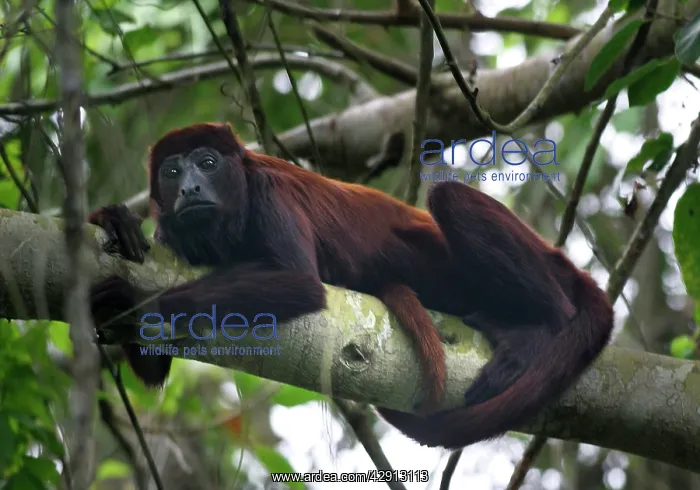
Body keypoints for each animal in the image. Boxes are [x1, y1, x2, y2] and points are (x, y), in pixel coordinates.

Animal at [88, 122, 613, 449]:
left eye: (207, 163)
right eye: (172, 171)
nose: (189, 188)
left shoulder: (271, 195)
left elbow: (300, 284)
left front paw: (133, 303)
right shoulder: (167, 240)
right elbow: (153, 368)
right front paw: (115, 221)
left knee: (452, 199)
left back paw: (538, 329)